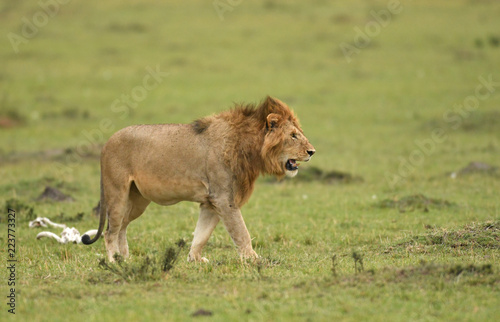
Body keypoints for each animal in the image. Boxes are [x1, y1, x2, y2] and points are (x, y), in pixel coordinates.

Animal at [82, 95, 316, 262]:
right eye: (293, 135)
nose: (312, 152)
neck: (249, 149)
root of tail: (106, 143)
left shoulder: (211, 202)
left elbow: (201, 234)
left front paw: (194, 259)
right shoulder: (224, 199)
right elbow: (241, 232)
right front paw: (254, 259)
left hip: (137, 200)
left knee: (121, 227)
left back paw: (125, 258)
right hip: (117, 192)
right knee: (110, 232)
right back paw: (114, 261)